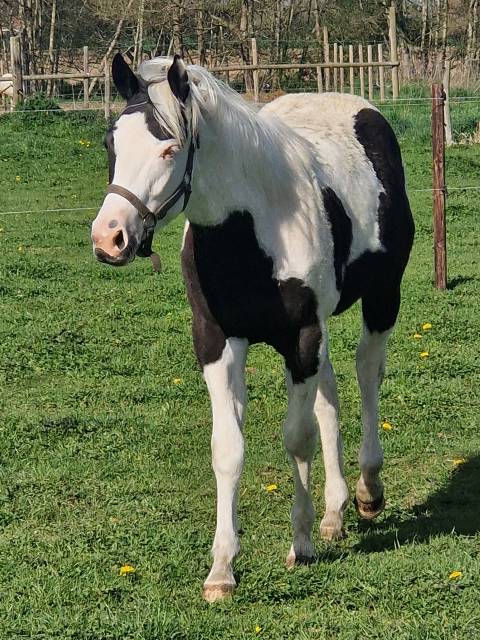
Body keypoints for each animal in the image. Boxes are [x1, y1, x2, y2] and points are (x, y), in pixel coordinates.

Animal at [91, 54, 414, 602]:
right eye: (112, 143)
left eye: (170, 147)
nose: (109, 238)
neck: (254, 228)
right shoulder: (217, 342)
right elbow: (229, 449)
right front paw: (222, 569)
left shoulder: (300, 337)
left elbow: (297, 438)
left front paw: (301, 545)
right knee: (330, 395)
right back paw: (335, 512)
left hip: (381, 298)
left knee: (367, 373)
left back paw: (369, 491)